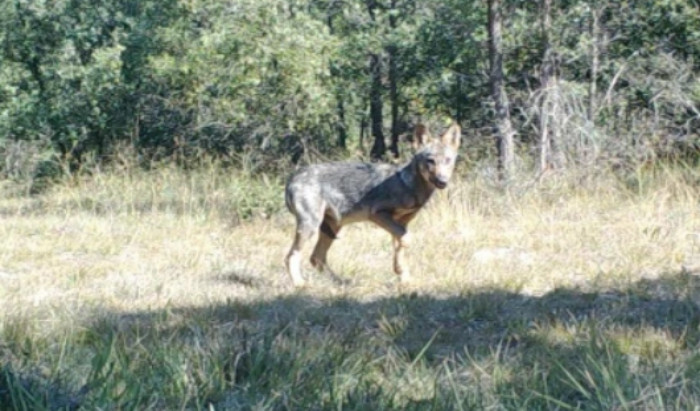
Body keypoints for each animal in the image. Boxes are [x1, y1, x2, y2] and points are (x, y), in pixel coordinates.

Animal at [284, 122, 460, 286]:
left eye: (448, 161)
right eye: (430, 161)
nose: (442, 181)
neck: (408, 185)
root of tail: (293, 176)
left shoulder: (401, 223)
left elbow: (400, 247)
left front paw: (403, 275)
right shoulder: (378, 214)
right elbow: (407, 240)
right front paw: (401, 271)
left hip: (332, 227)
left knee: (316, 258)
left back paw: (342, 282)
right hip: (311, 226)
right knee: (291, 256)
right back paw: (299, 284)